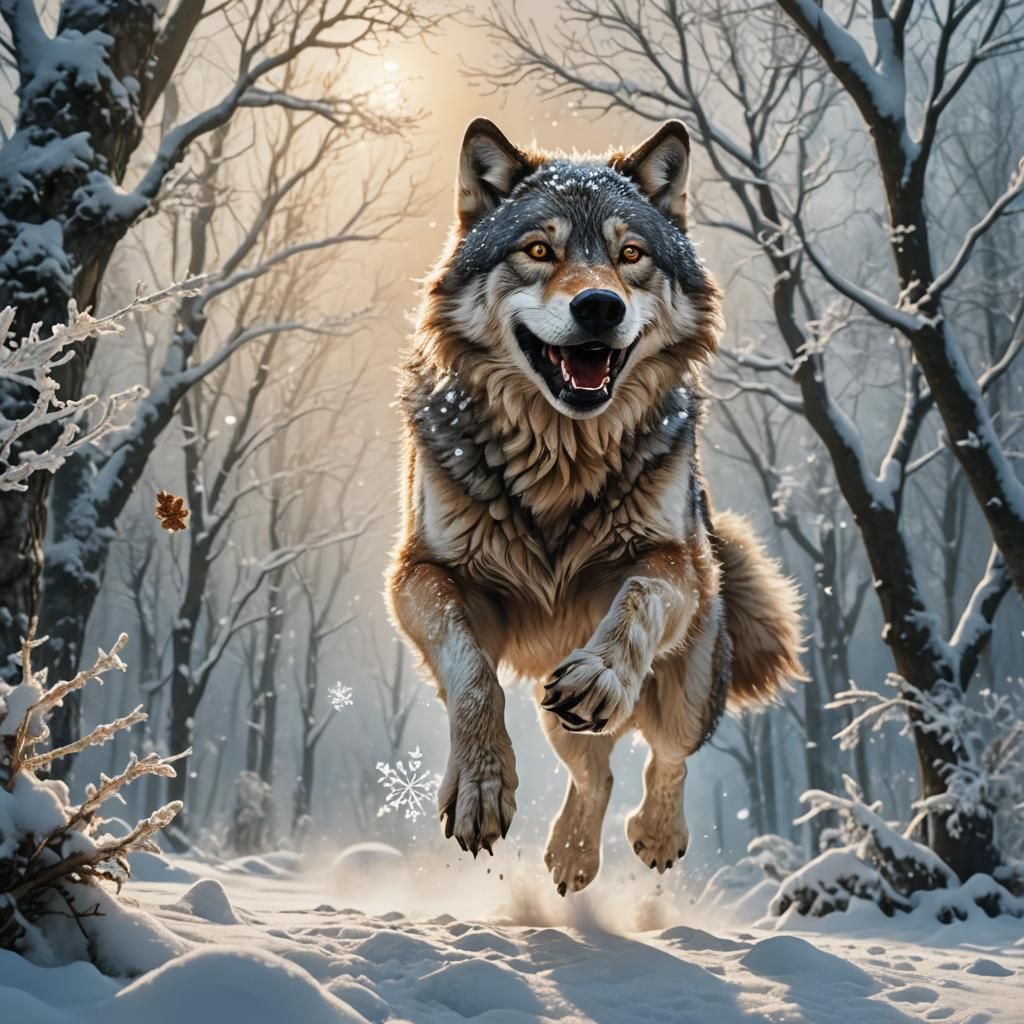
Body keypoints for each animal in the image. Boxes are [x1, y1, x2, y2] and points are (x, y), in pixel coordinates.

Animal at [387, 118, 803, 894]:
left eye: (629, 255)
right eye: (538, 251)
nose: (600, 305)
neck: (560, 461)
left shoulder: (672, 562)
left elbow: (636, 600)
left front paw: (605, 670)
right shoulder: (419, 575)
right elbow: (472, 671)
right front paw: (481, 786)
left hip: (684, 682)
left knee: (666, 755)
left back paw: (657, 835)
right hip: (558, 717)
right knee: (597, 775)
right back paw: (573, 856)